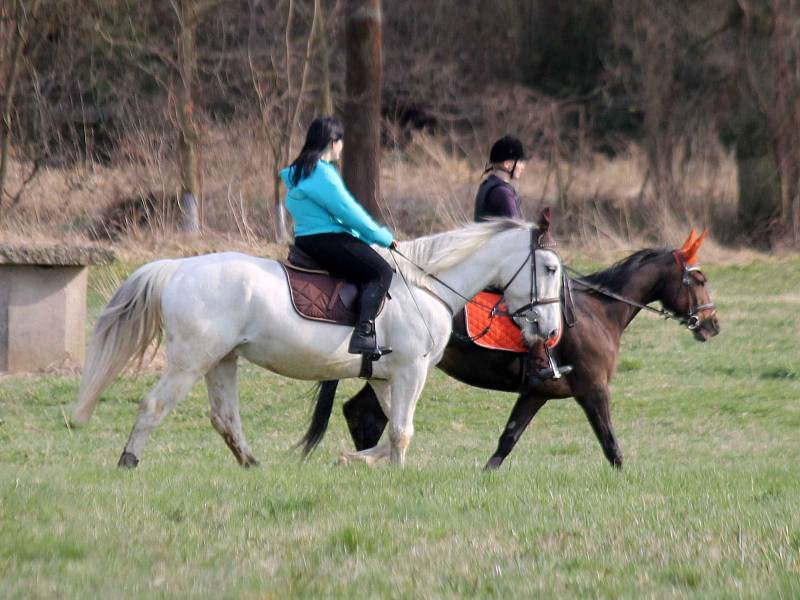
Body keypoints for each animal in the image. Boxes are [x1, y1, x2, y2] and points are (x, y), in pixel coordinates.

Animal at [73, 220, 564, 468]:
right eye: (551, 268)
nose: (550, 331)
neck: (425, 286)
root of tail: (178, 268)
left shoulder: (387, 376)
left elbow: (394, 426)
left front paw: (357, 459)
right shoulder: (411, 370)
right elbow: (402, 430)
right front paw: (395, 476)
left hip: (222, 360)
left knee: (225, 417)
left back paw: (253, 465)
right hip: (190, 361)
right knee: (154, 407)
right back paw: (128, 461)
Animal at [336, 230, 720, 468]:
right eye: (699, 280)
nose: (712, 324)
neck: (598, 313)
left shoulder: (536, 394)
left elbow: (507, 441)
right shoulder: (593, 389)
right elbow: (610, 443)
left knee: (361, 411)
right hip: (404, 368)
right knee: (365, 414)